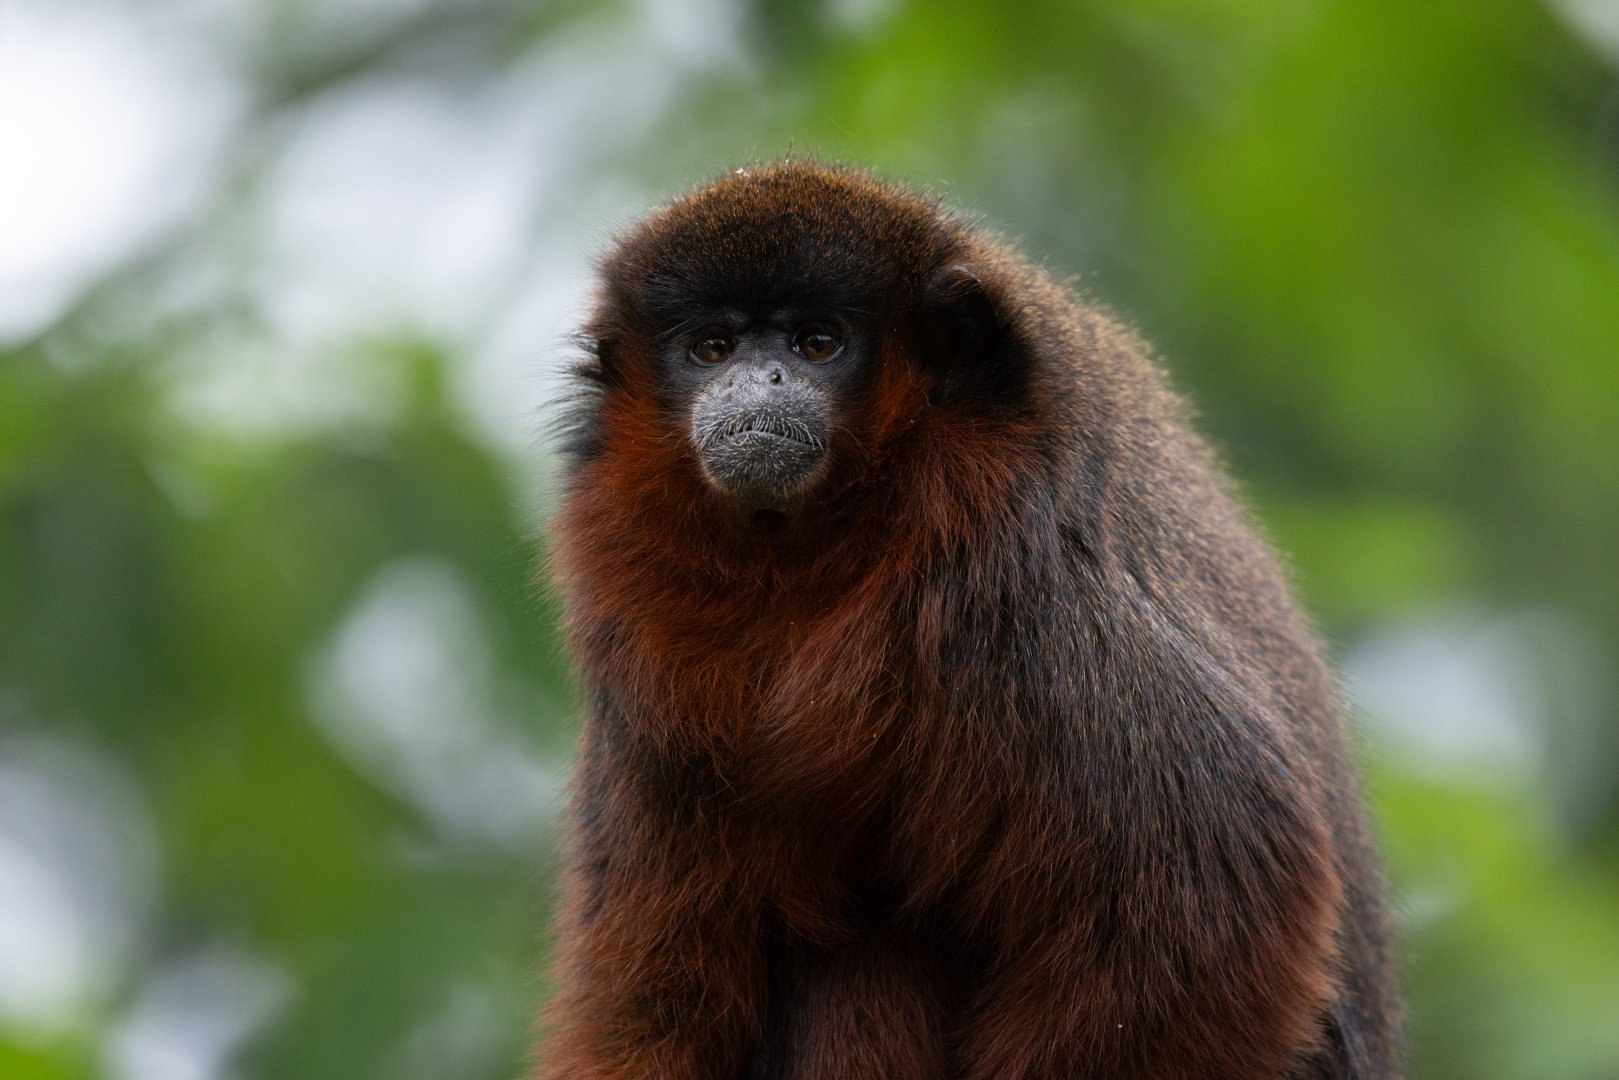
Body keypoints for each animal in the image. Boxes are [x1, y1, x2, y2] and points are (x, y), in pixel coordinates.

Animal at [540, 161, 1400, 1079]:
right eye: (711, 348)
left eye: (816, 343)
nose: (754, 381)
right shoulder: (651, 688)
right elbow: (659, 986)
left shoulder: (1024, 586)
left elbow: (1227, 879)